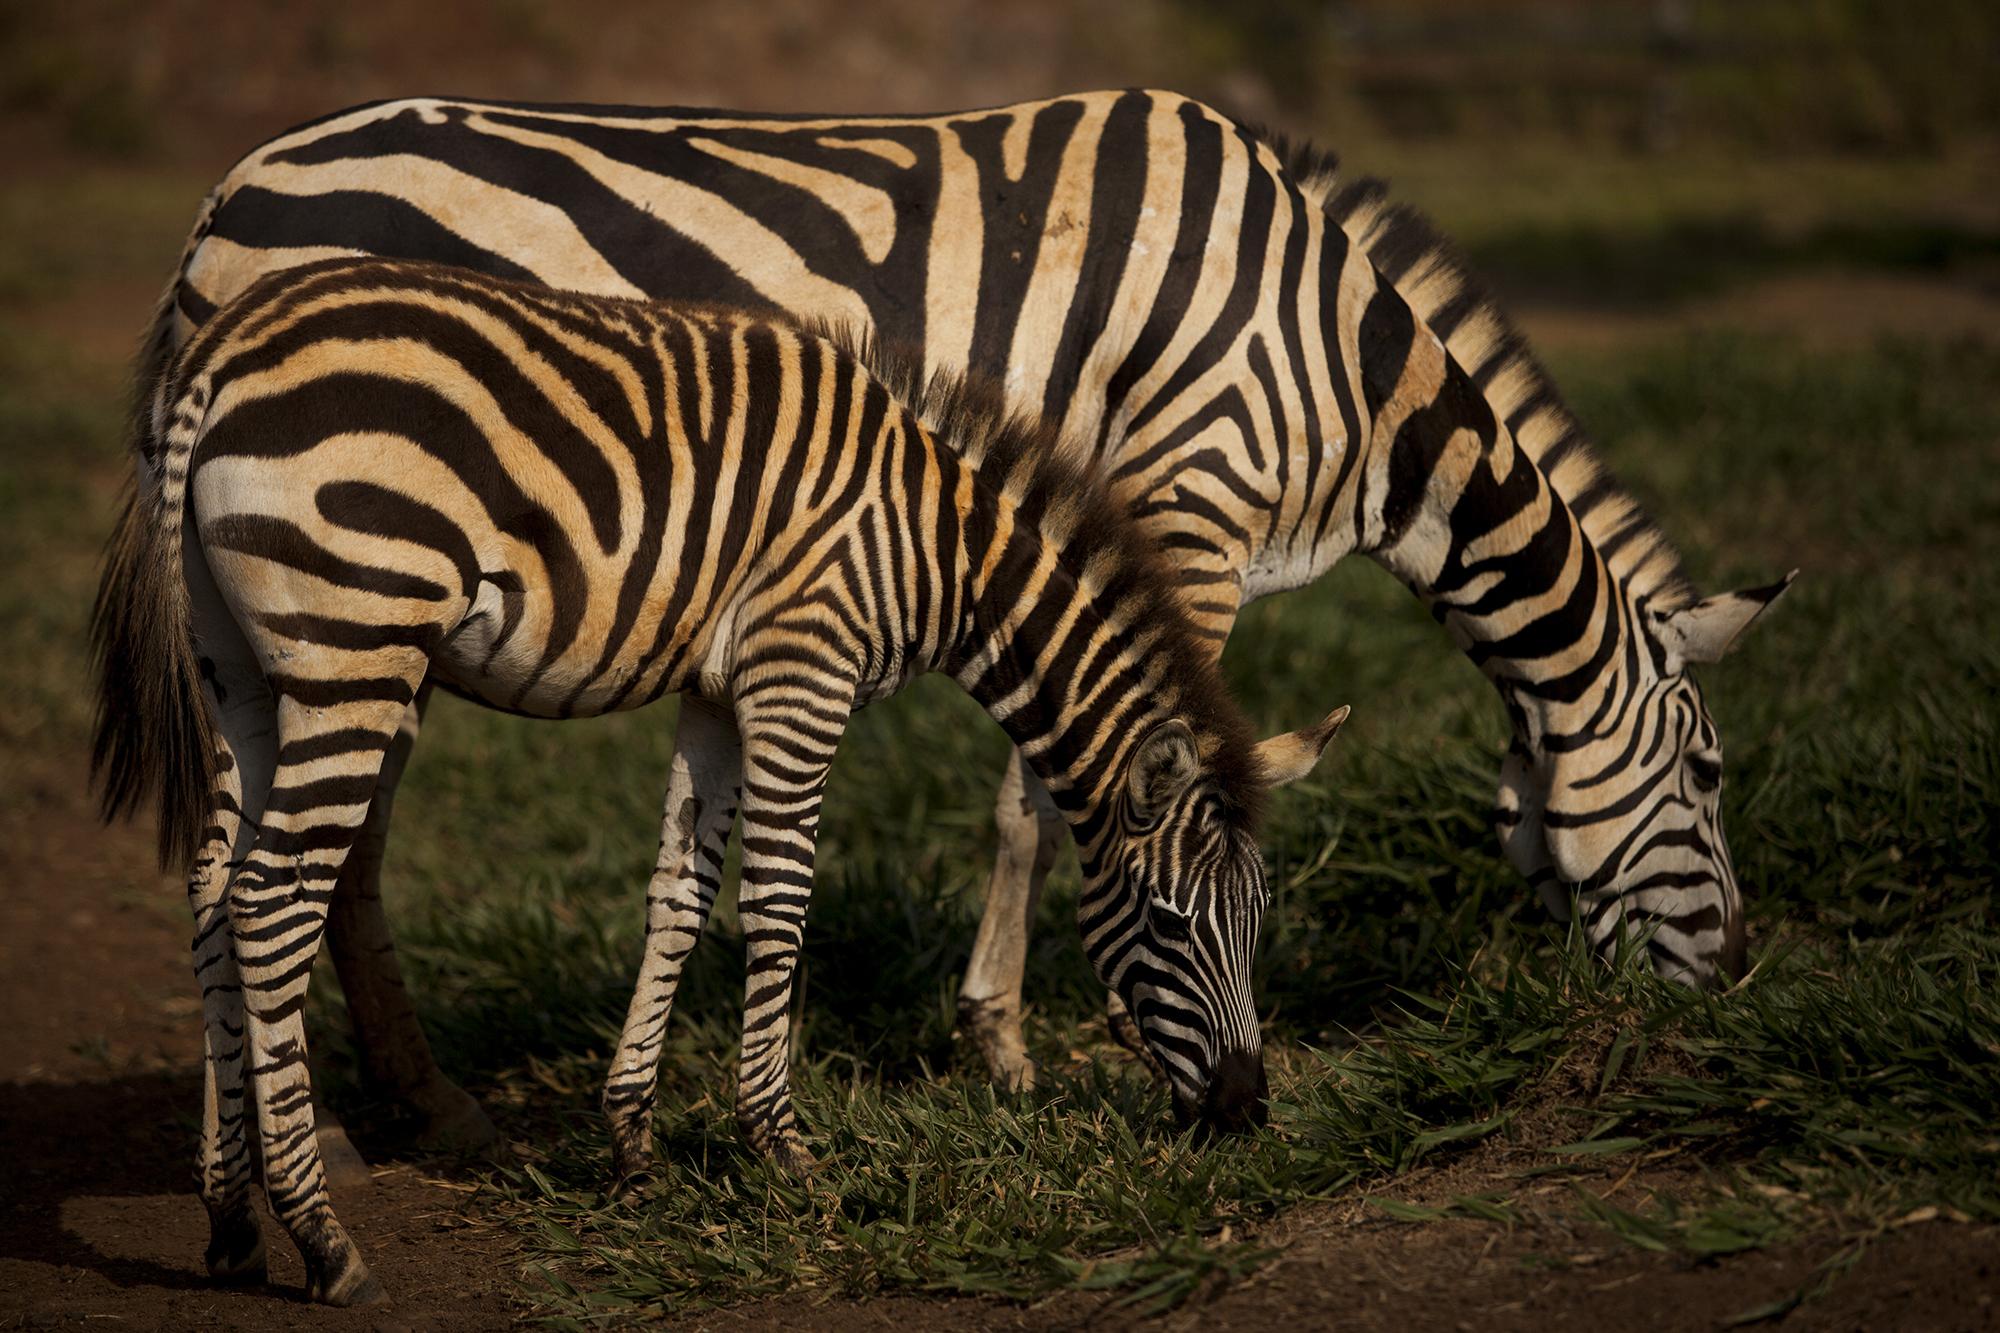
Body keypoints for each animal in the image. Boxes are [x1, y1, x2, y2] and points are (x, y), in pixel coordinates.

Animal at [97, 254, 1344, 1304]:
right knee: (272, 902)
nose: (1245, 1108)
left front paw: (630, 1140)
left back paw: (230, 1219)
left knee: (213, 890)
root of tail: (217, 356)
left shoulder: (711, 688)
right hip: (354, 644)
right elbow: (779, 899)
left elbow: (680, 895)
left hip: (244, 670)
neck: (936, 549)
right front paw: (780, 1144)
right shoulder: (804, 667)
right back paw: (321, 1238)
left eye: (1261, 914)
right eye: (1170, 919)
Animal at [101, 85, 1800, 1112]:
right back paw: (417, 1110)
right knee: (333, 841)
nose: (1735, 982)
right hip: (365, 569)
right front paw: (1029, 1044)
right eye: (1714, 774)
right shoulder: (1190, 501)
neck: (1344, 374)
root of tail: (226, 191)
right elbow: (1053, 796)